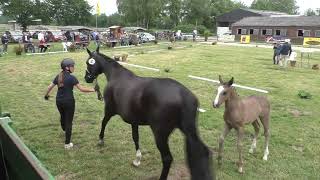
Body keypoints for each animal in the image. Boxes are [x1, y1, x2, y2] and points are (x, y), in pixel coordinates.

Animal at [84, 47, 214, 179]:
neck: (116, 76)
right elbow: (135, 137)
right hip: (188, 131)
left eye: (88, 62)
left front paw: (100, 140)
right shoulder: (134, 121)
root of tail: (184, 95)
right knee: (203, 151)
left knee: (167, 158)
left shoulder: (109, 110)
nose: (87, 78)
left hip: (160, 135)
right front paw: (137, 159)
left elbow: (103, 122)